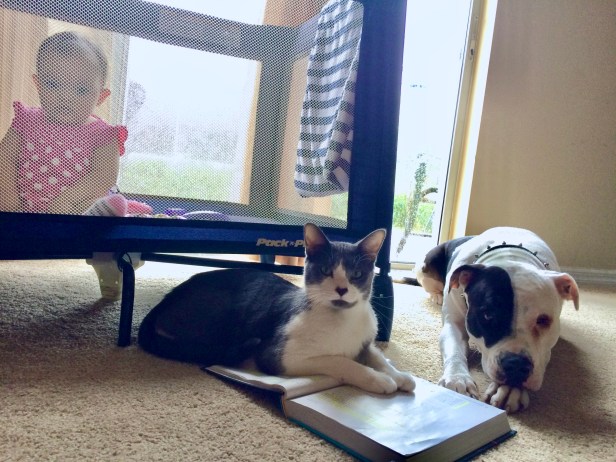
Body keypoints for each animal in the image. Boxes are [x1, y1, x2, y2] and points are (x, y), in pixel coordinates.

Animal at [138, 223, 415, 394]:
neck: (343, 320)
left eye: (356, 274)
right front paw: (379, 379)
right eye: (326, 270)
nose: (341, 289)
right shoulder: (279, 355)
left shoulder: (365, 340)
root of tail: (166, 300)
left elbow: (376, 355)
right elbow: (341, 361)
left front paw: (399, 375)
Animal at [417, 227, 579, 413]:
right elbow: (454, 350)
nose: (516, 364)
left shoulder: (545, 351)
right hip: (427, 267)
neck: (511, 255)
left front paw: (510, 390)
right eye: (487, 315)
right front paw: (458, 380)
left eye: (543, 320)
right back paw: (436, 296)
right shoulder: (453, 324)